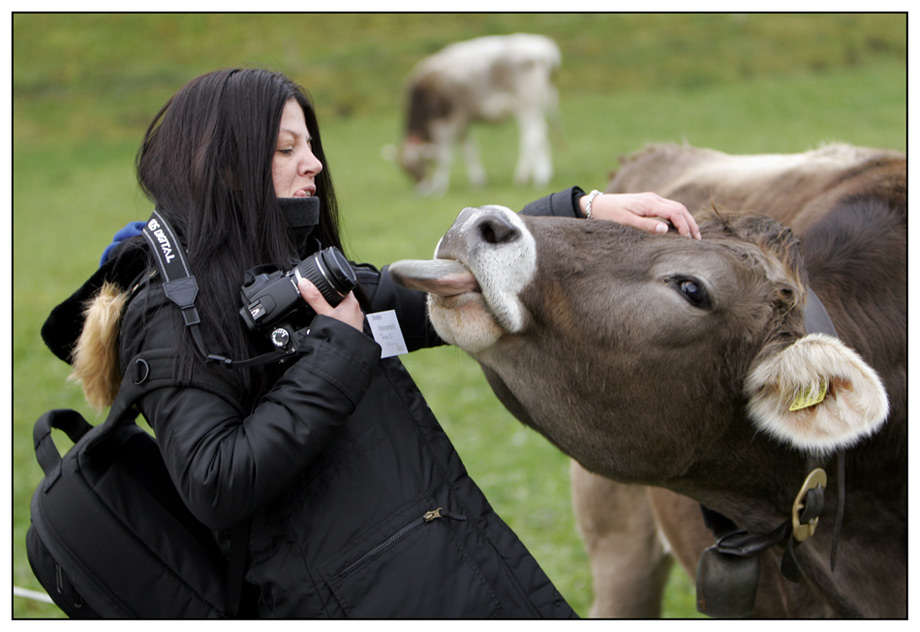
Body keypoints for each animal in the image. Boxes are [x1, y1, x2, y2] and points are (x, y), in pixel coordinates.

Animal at [392, 34, 556, 195]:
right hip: (538, 102)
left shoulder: (446, 121)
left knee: (532, 136)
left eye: (416, 164)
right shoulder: (462, 121)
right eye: (404, 170)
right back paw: (543, 175)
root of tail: (545, 52)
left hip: (526, 103)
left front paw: (439, 187)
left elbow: (444, 154)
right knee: (542, 132)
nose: (420, 189)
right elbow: (469, 150)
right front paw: (477, 180)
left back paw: (525, 177)